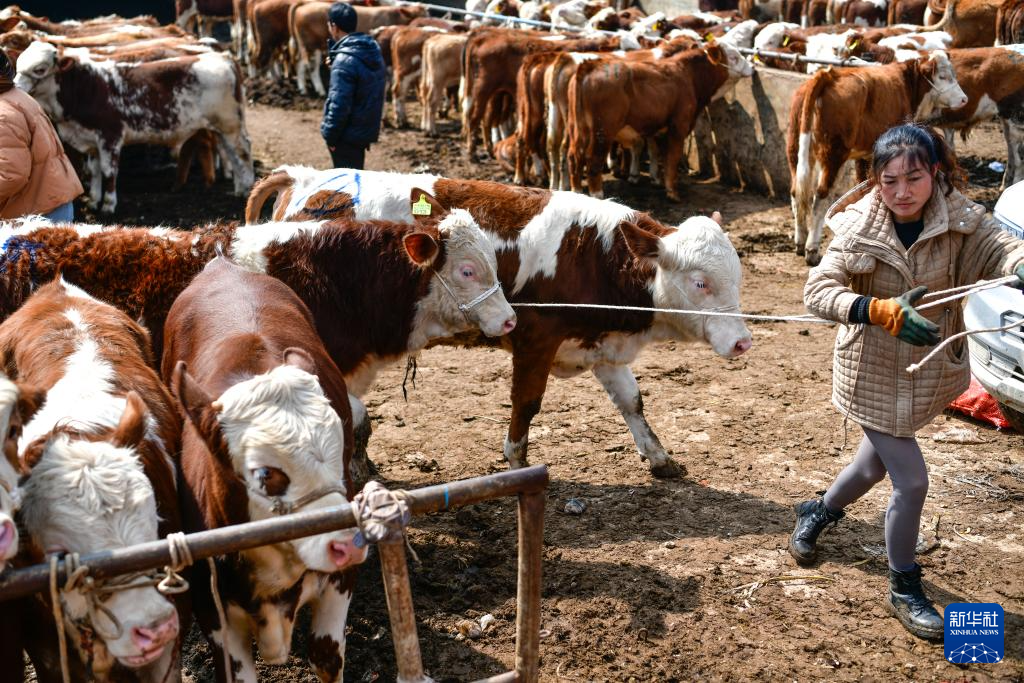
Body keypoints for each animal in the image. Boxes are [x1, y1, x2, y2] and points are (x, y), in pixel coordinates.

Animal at [14, 39, 252, 214]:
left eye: (39, 69)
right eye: (17, 66)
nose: (16, 87)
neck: (88, 87)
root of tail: (224, 57)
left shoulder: (110, 136)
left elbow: (108, 171)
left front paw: (108, 204)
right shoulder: (90, 139)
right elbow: (93, 171)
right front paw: (93, 201)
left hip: (230, 124)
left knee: (243, 152)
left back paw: (248, 188)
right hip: (221, 128)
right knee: (232, 154)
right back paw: (239, 189)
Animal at [161, 258, 366, 683]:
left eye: (340, 450)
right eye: (264, 474)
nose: (347, 543)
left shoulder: (340, 582)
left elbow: (325, 655)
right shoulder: (212, 611)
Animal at [241, 169, 753, 481]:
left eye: (737, 276)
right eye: (701, 282)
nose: (743, 342)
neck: (593, 254)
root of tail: (307, 178)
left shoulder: (601, 344)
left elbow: (633, 401)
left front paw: (660, 457)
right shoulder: (536, 340)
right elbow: (526, 404)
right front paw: (516, 461)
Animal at [782, 50, 966, 264]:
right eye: (943, 76)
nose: (964, 99)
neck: (907, 83)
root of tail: (827, 76)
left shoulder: (862, 154)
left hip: (795, 147)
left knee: (796, 192)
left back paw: (800, 242)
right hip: (833, 154)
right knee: (820, 196)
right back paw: (811, 249)